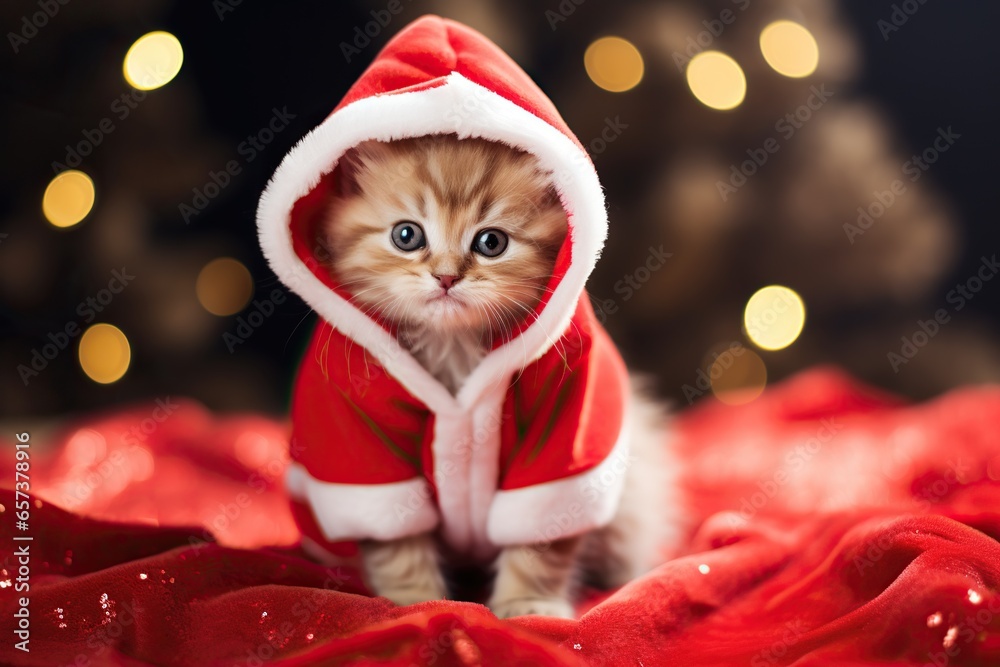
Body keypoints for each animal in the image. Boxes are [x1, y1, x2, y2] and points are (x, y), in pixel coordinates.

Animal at [320, 136, 680, 620]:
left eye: (491, 242)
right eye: (406, 236)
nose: (446, 277)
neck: (454, 347)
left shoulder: (561, 434)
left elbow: (539, 537)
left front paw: (528, 605)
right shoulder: (362, 447)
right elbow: (396, 540)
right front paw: (412, 600)